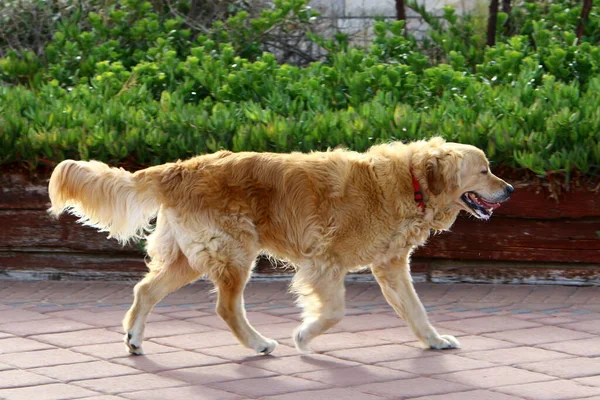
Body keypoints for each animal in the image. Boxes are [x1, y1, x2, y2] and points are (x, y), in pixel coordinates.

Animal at [49, 138, 512, 356]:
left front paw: (434, 341)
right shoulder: (324, 262)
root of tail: (178, 168)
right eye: (485, 170)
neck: (412, 180)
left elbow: (416, 311)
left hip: (190, 259)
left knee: (144, 290)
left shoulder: (391, 266)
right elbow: (334, 312)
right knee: (226, 307)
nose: (510, 190)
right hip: (235, 254)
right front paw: (304, 336)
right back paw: (259, 344)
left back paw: (134, 339)